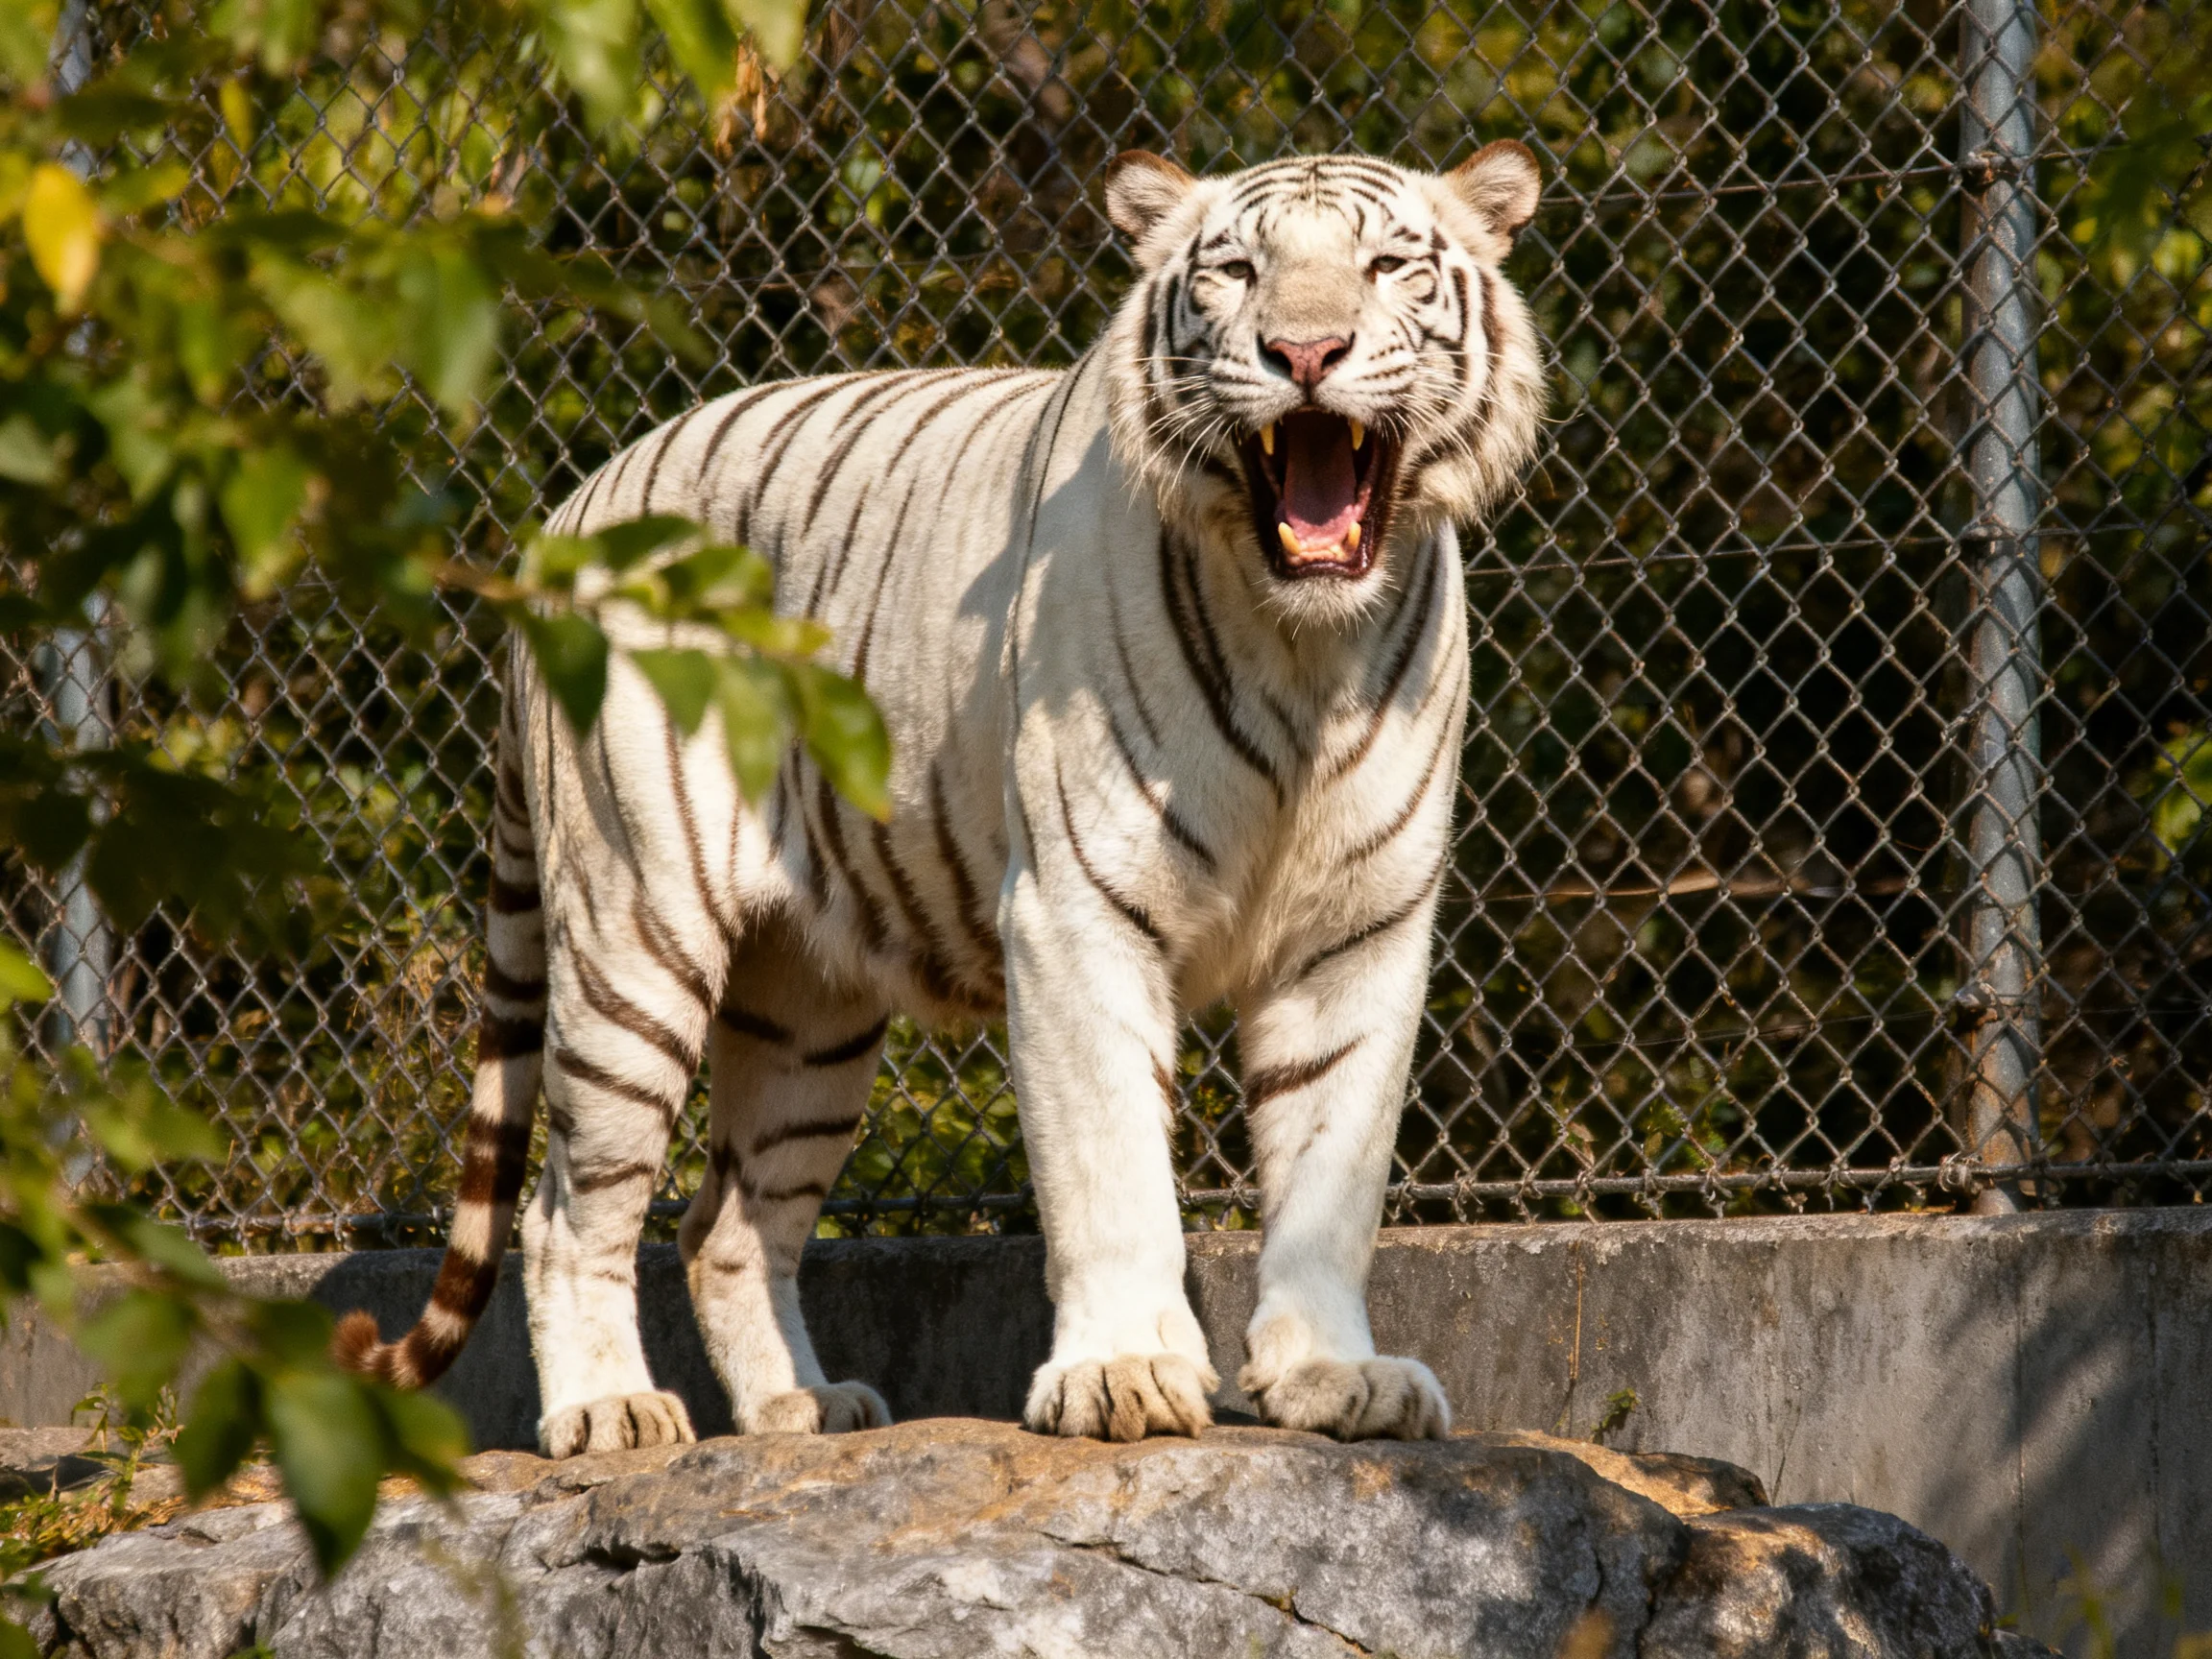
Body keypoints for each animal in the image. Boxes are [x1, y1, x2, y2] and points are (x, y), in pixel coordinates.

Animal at [335, 141, 1548, 1455]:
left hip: (807, 1009)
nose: (1307, 353)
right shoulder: (1077, 911)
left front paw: (1335, 1376)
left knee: (726, 1222)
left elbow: (1335, 1169)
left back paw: (800, 1408)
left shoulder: (1359, 933)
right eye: (1235, 271)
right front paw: (1123, 1375)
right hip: (633, 933)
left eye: (1387, 267)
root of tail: (561, 522)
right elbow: (1112, 1167)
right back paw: (608, 1410)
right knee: (570, 1208)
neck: (1305, 648)